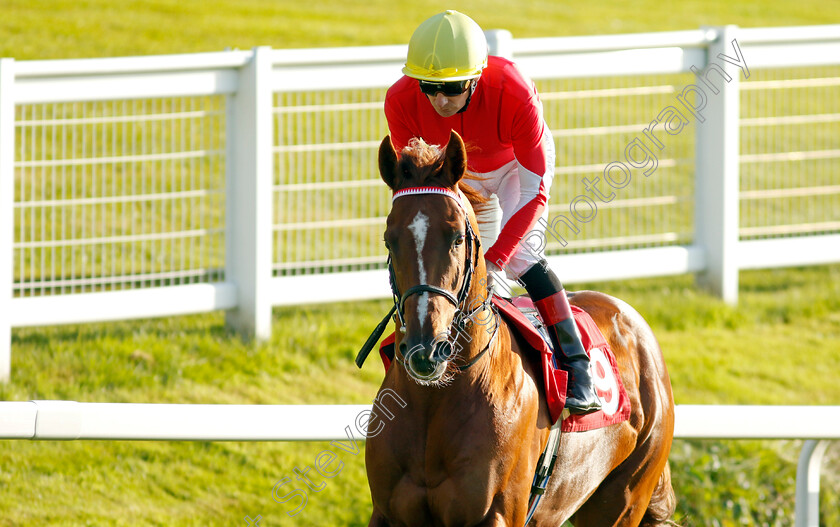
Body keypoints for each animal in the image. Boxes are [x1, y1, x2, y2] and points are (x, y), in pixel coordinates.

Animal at [362, 130, 676, 524]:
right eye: (390, 240)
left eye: (457, 238)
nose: (425, 349)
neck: (435, 400)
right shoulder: (386, 513)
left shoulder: (498, 512)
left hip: (625, 497)